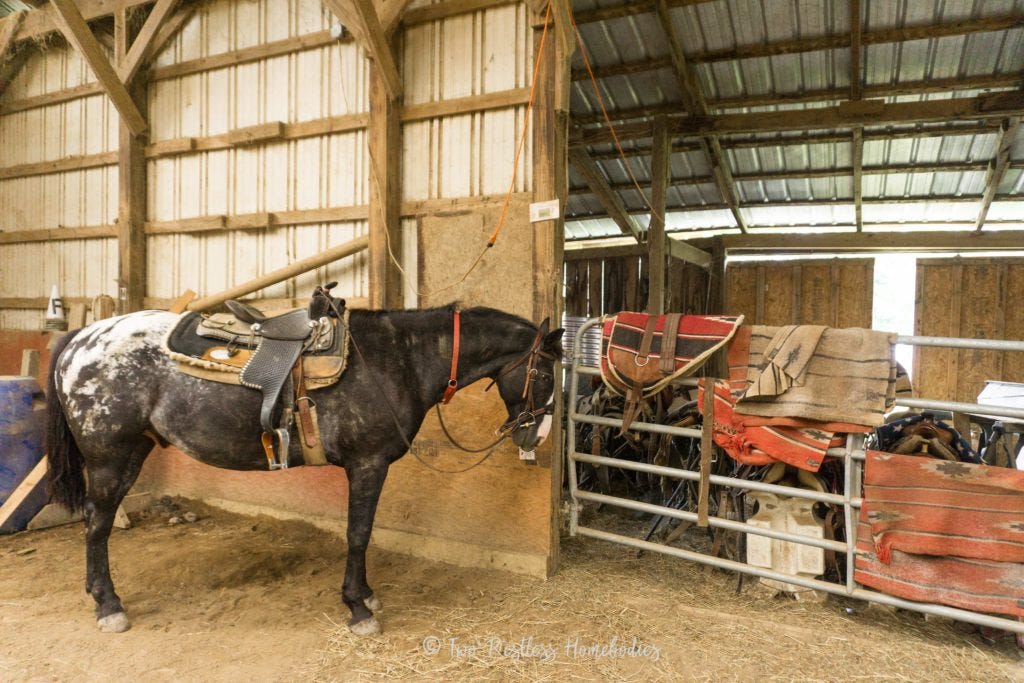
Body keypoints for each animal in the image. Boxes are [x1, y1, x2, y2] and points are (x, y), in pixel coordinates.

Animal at [44, 301, 565, 638]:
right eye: (543, 373)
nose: (538, 436)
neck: (397, 358)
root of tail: (81, 339)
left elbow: (361, 533)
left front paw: (366, 596)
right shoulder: (367, 465)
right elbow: (359, 533)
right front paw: (358, 609)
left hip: (133, 450)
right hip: (110, 456)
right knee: (97, 523)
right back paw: (109, 606)